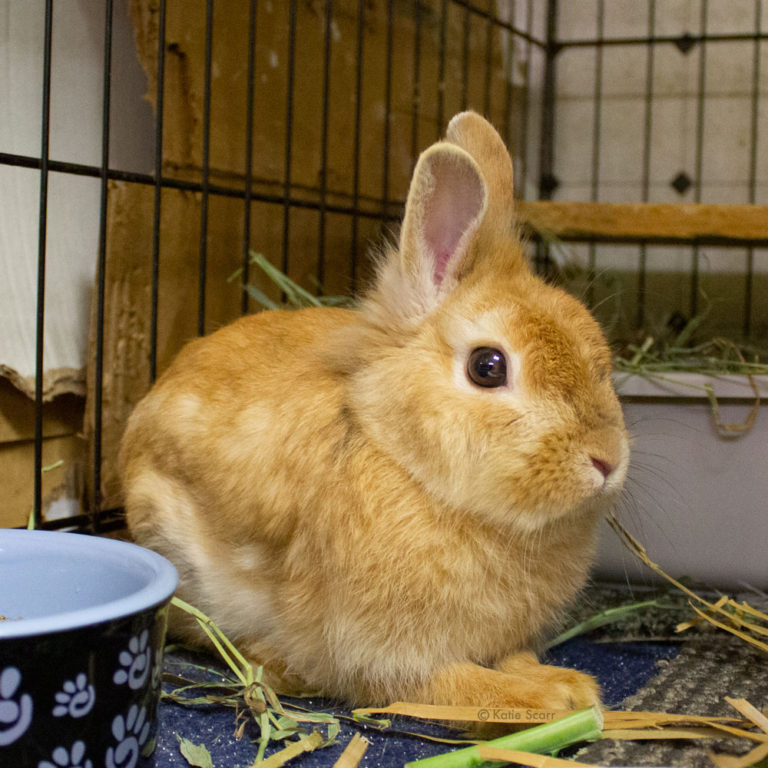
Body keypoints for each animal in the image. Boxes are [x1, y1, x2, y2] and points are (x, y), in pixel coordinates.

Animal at [118, 111, 624, 712]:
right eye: (488, 367)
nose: (607, 460)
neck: (404, 461)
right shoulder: (380, 655)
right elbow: (452, 684)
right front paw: (546, 701)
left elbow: (511, 656)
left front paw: (566, 684)